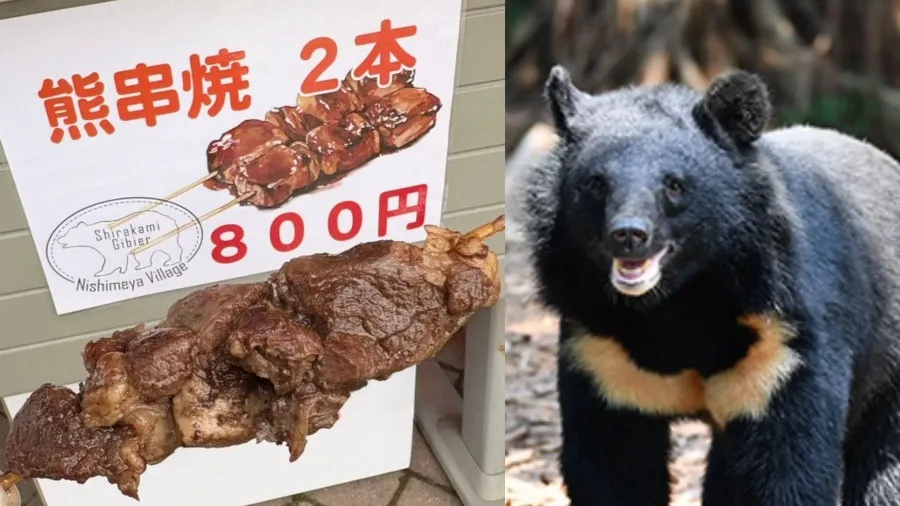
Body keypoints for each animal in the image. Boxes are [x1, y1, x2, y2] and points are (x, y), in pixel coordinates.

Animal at [519, 64, 900, 506]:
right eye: (597, 183)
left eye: (674, 185)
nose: (629, 235)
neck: (681, 298)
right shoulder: (602, 351)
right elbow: (612, 460)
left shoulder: (781, 340)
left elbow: (787, 459)